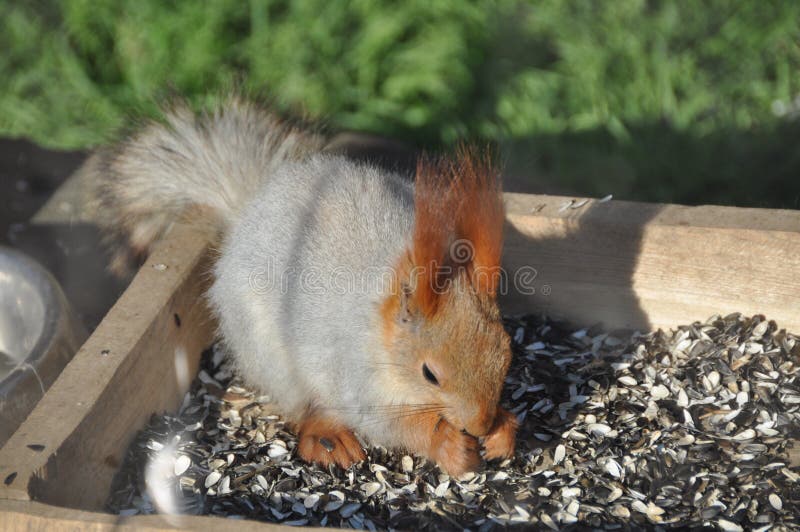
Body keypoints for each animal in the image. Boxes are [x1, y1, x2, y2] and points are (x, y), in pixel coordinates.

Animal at [91, 97, 518, 476]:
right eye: (429, 374)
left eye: (506, 352)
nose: (479, 425)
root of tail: (248, 213)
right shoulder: (356, 374)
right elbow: (390, 424)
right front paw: (447, 443)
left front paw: (503, 430)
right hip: (272, 358)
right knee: (302, 409)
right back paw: (327, 437)